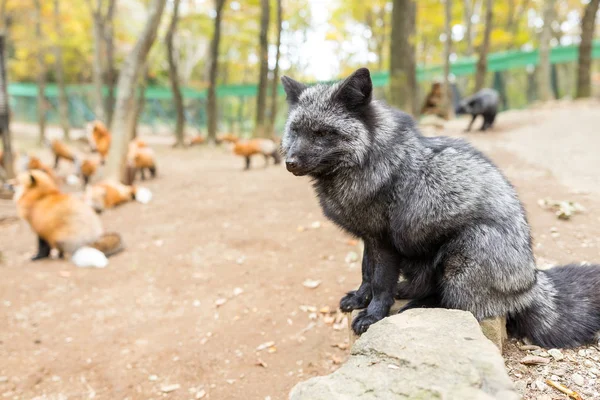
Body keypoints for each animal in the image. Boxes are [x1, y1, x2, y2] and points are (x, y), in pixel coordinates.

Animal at [280, 67, 600, 348]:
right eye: (295, 131)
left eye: (323, 133)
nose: (290, 163)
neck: (370, 160)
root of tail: (530, 284)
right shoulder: (369, 238)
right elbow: (366, 274)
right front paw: (360, 299)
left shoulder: (384, 241)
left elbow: (381, 282)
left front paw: (372, 316)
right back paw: (407, 292)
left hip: (464, 252)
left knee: (455, 304)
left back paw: (418, 305)